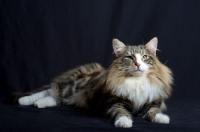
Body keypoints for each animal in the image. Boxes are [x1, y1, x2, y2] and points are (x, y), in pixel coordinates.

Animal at [16, 37, 173, 128]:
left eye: (145, 57)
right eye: (129, 57)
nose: (138, 64)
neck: (136, 81)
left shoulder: (151, 102)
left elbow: (154, 111)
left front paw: (162, 118)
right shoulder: (112, 102)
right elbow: (121, 112)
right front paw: (124, 122)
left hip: (70, 96)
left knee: (55, 99)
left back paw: (38, 104)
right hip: (72, 89)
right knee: (52, 90)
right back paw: (24, 100)